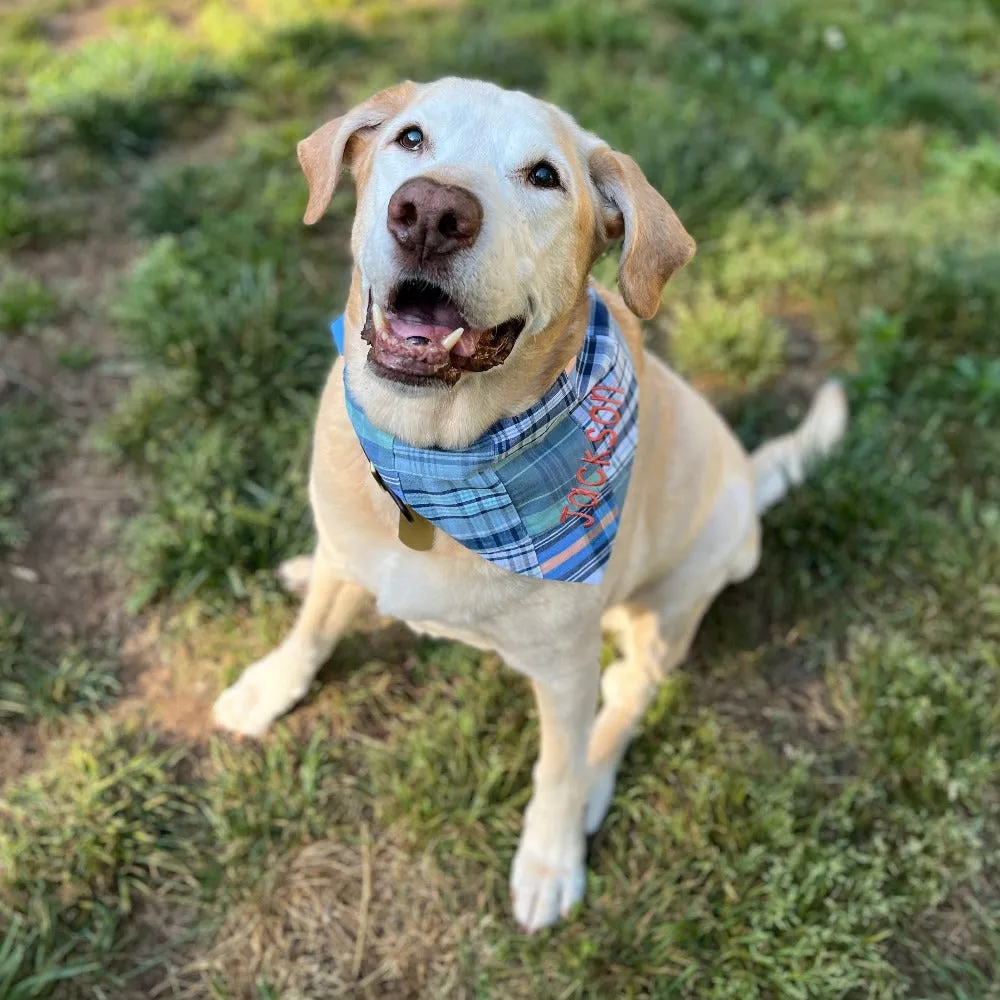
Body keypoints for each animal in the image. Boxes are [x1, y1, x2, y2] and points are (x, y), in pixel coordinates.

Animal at [215, 76, 848, 928]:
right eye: (411, 139)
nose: (431, 212)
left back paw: (592, 790)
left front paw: (550, 857)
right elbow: (312, 631)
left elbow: (556, 766)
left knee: (628, 698)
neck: (436, 464)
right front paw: (266, 690)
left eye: (544, 177)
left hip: (672, 603)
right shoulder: (353, 545)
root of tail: (748, 479)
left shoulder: (564, 671)